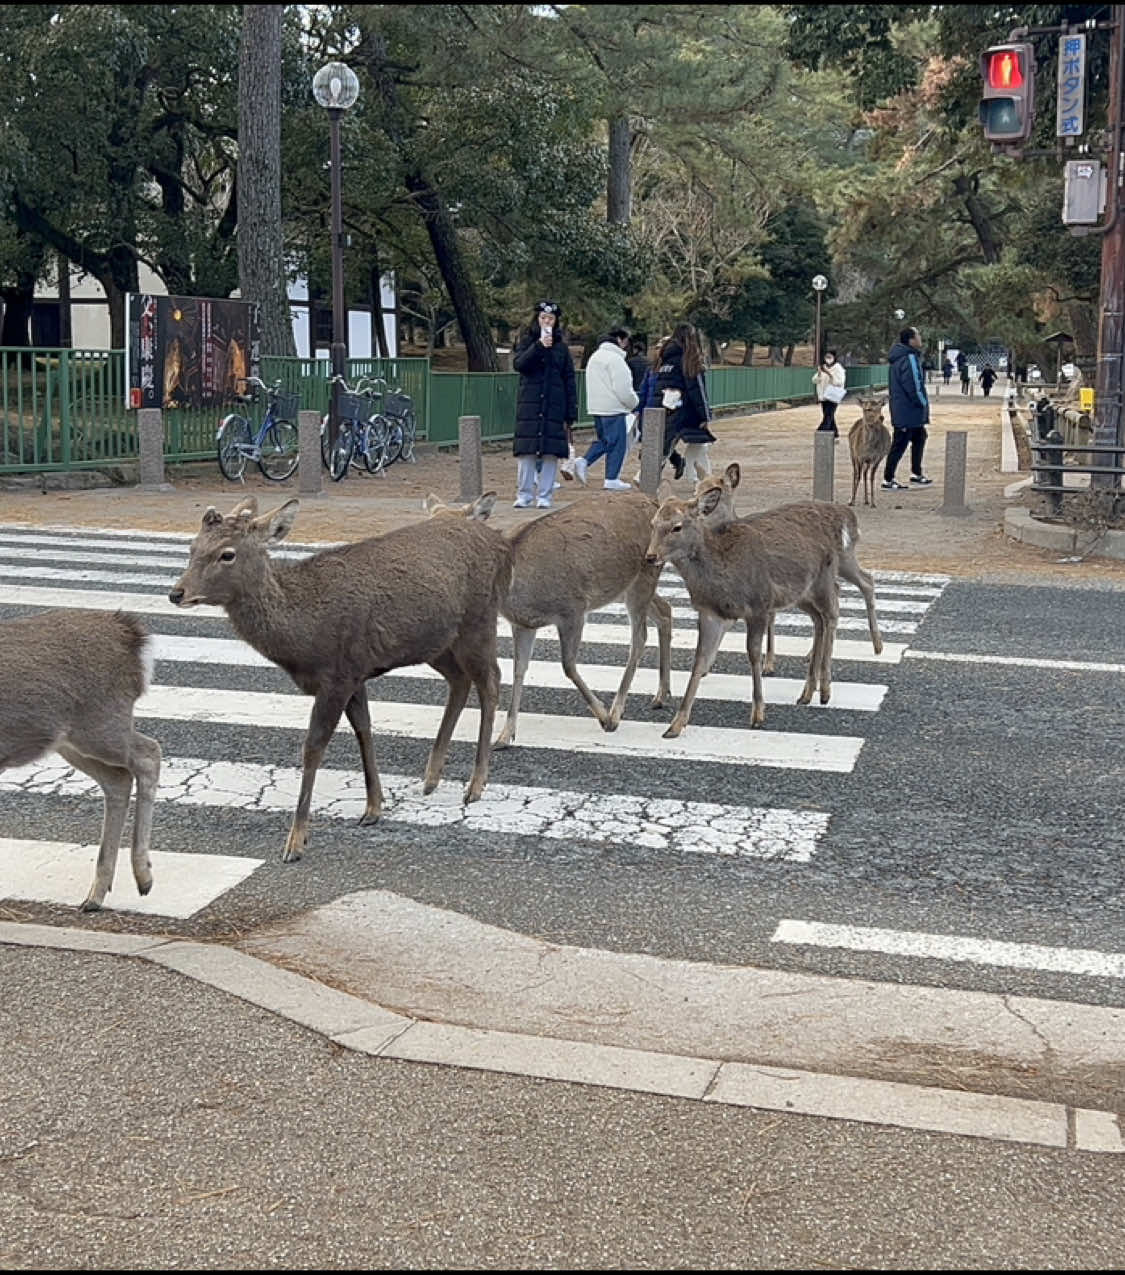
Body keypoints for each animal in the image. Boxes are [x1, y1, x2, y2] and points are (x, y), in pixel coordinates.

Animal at [0, 612, 161, 912]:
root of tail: (131, 635)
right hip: (71, 742)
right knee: (118, 779)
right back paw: (96, 895)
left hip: (101, 723)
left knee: (149, 754)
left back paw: (143, 877)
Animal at [168, 492, 510, 861]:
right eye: (192, 547)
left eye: (227, 553)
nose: (177, 593)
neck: (304, 637)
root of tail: (498, 541)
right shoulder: (356, 673)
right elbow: (364, 729)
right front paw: (374, 807)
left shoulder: (337, 676)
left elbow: (313, 747)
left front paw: (295, 842)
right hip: (435, 642)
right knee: (460, 680)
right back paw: (432, 777)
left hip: (479, 619)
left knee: (490, 681)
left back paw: (476, 784)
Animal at [418, 487, 668, 744]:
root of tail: (654, 501)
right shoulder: (523, 623)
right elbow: (518, 670)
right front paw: (505, 735)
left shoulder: (573, 609)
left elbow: (568, 665)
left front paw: (604, 717)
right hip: (628, 587)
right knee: (665, 611)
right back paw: (661, 695)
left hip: (646, 573)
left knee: (639, 638)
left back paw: (617, 711)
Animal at [645, 484, 836, 739]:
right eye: (653, 523)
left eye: (677, 526)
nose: (650, 556)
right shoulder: (710, 613)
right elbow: (700, 660)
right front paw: (675, 724)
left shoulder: (758, 605)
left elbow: (754, 654)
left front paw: (758, 715)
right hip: (800, 595)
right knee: (818, 620)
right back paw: (807, 692)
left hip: (823, 580)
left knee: (832, 615)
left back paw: (825, 690)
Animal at [688, 461, 882, 663]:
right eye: (696, 490)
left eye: (715, 492)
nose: (696, 511)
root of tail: (849, 516)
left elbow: (770, 618)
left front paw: (768, 663)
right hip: (840, 562)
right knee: (857, 583)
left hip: (841, 557)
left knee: (861, 584)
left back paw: (876, 645)